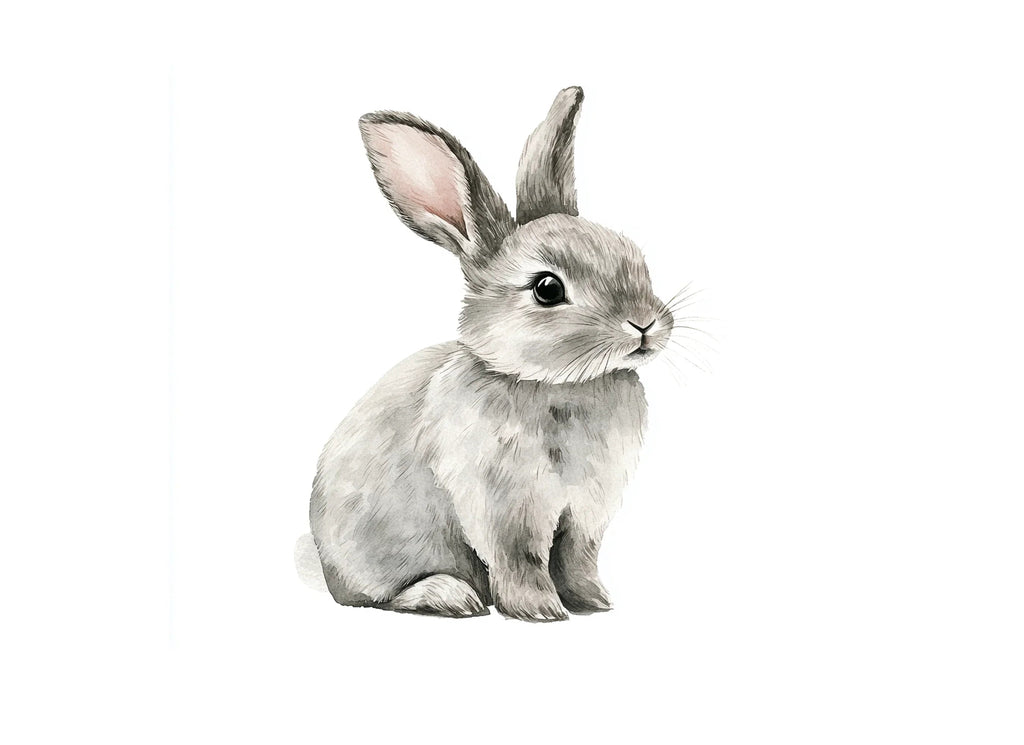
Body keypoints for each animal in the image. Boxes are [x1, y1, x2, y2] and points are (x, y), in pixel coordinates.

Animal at [309, 86, 675, 621]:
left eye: (633, 257)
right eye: (547, 288)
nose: (646, 324)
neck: (555, 384)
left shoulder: (584, 514)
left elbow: (578, 559)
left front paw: (595, 601)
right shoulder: (504, 509)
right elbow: (521, 559)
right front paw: (541, 611)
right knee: (377, 597)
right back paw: (449, 594)